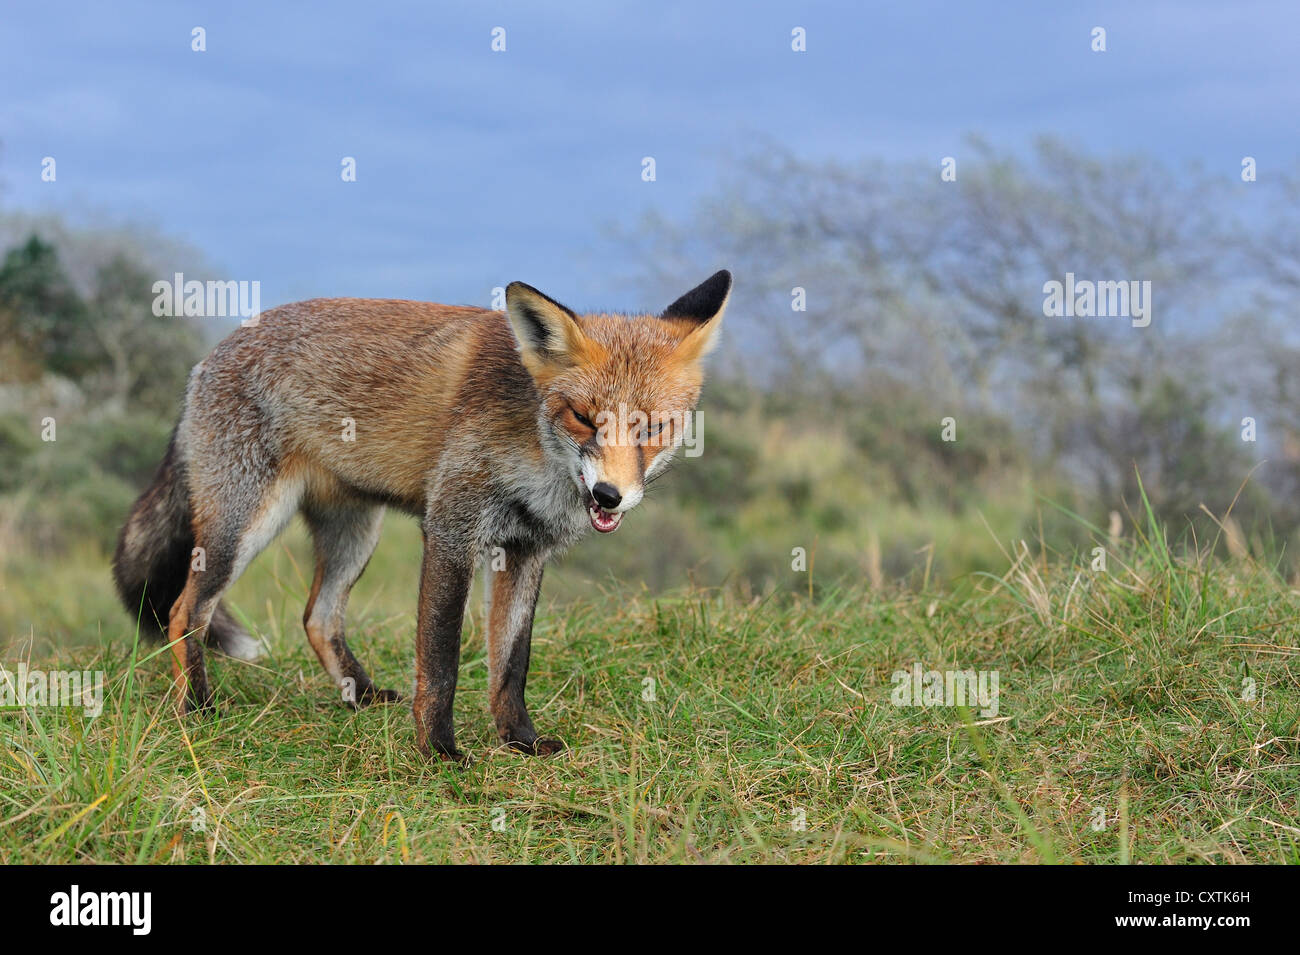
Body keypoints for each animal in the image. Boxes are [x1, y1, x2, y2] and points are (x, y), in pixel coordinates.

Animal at [112, 270, 731, 760]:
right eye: (583, 417)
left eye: (654, 428)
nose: (608, 496)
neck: (538, 454)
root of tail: (208, 358)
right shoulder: (452, 526)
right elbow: (441, 661)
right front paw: (439, 750)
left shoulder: (525, 550)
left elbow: (512, 663)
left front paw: (521, 741)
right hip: (242, 526)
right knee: (184, 611)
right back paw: (198, 708)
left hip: (355, 533)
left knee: (317, 617)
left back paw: (359, 697)